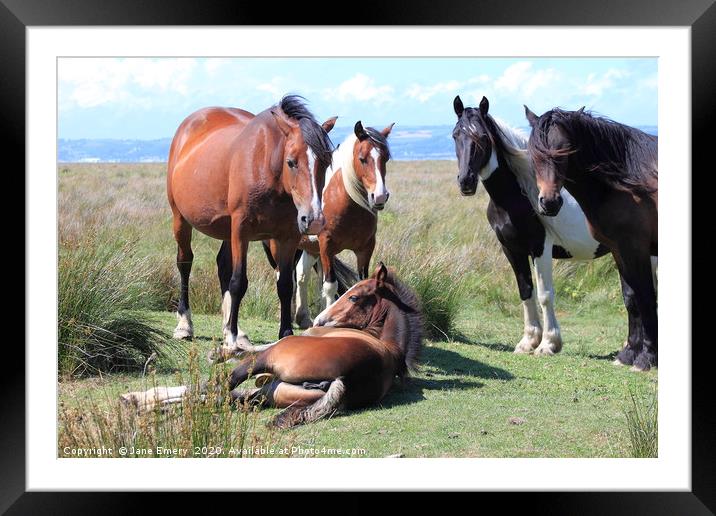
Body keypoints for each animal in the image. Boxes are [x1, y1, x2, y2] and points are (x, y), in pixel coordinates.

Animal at [121, 262, 426, 428]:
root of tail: (348, 378)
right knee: (223, 395)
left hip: (268, 364)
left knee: (215, 387)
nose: (320, 319)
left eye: (353, 297)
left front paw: (221, 351)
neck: (387, 345)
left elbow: (248, 349)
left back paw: (139, 399)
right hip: (272, 391)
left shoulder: (282, 345)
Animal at [166, 94, 338, 356]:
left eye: (326, 162)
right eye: (291, 162)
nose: (313, 219)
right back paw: (186, 325)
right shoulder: (241, 231)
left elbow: (285, 284)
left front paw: (284, 334)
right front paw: (231, 339)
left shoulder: (287, 236)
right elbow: (238, 282)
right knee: (185, 263)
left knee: (222, 266)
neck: (267, 168)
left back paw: (232, 330)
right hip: (181, 219)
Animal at [450, 95, 608, 354]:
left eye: (483, 137)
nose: (466, 182)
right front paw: (528, 341)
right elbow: (525, 291)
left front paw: (548, 344)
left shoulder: (540, 248)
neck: (516, 197)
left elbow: (544, 294)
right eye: (455, 135)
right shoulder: (511, 249)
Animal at [524, 106, 656, 370]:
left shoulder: (636, 248)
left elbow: (645, 296)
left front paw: (646, 358)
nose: (549, 203)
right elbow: (632, 298)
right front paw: (628, 354)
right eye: (535, 155)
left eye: (565, 150)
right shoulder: (619, 249)